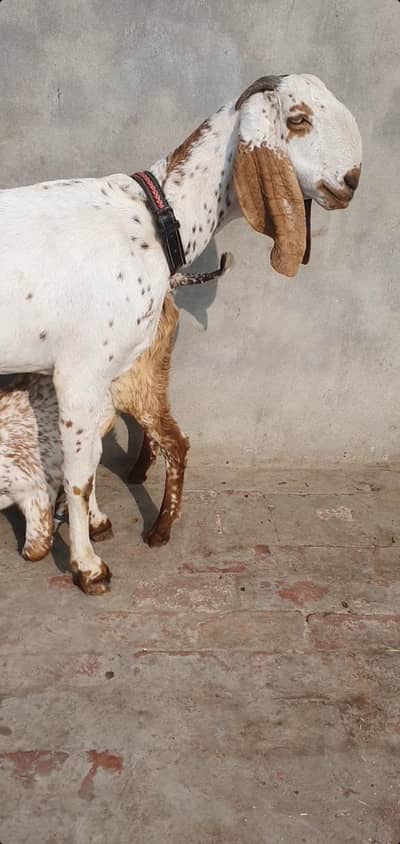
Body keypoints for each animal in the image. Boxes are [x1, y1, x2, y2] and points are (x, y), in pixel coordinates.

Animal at [0, 74, 362, 593]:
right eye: (297, 119)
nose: (351, 180)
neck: (152, 220)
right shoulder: (79, 372)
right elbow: (77, 474)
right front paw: (88, 567)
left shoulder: (105, 374)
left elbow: (92, 456)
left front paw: (94, 527)